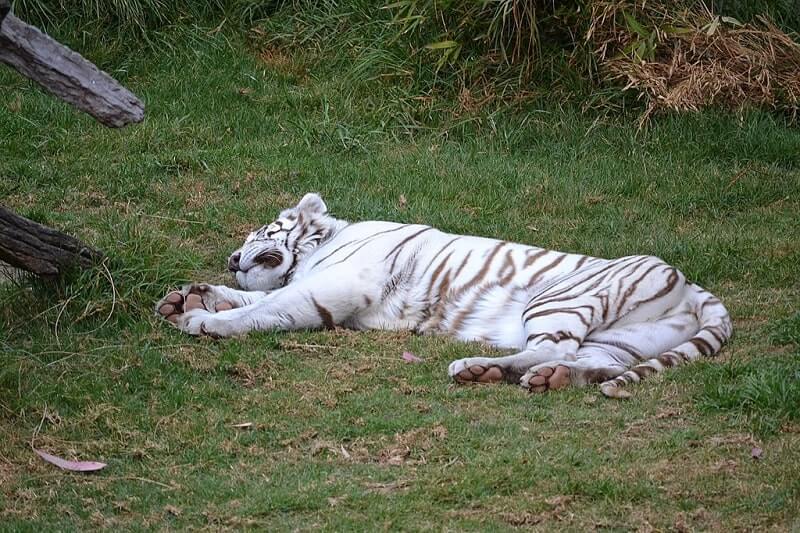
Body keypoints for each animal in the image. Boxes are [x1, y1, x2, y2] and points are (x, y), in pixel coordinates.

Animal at [156, 193, 732, 397]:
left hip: (558, 300)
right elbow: (252, 300)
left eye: (259, 232)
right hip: (621, 341)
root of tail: (691, 284)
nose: (231, 257)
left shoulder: (329, 289)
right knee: (589, 361)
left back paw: (475, 368)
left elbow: (268, 309)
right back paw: (527, 376)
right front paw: (190, 297)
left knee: (552, 347)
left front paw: (205, 322)